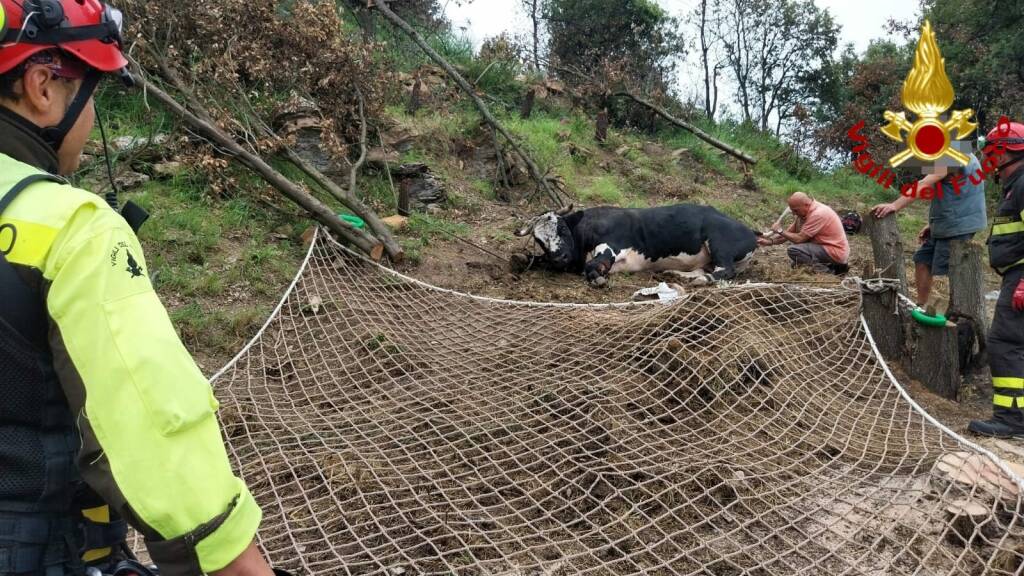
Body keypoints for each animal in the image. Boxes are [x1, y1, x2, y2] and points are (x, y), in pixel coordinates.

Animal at [516, 202, 757, 286]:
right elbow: (534, 258)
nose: (559, 258)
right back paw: (677, 274)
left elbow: (592, 266)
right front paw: (520, 259)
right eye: (539, 239)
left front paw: (597, 278)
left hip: (719, 242)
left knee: (725, 270)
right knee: (704, 268)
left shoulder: (612, 247)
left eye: (563, 229)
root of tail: (750, 230)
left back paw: (702, 280)